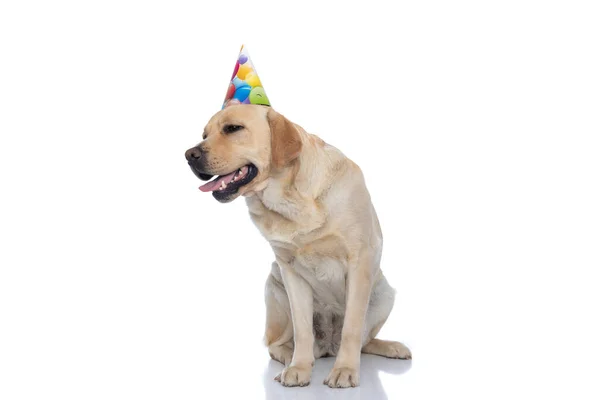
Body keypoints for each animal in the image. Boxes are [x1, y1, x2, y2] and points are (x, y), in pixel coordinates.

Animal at [185, 104, 410, 386]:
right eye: (204, 134)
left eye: (233, 128)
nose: (189, 154)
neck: (291, 200)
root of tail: (329, 347)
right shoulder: (289, 271)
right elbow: (303, 329)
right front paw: (299, 368)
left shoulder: (359, 261)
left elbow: (352, 328)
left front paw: (345, 370)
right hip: (274, 284)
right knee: (277, 344)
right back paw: (289, 360)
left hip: (383, 292)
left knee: (364, 340)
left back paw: (392, 347)